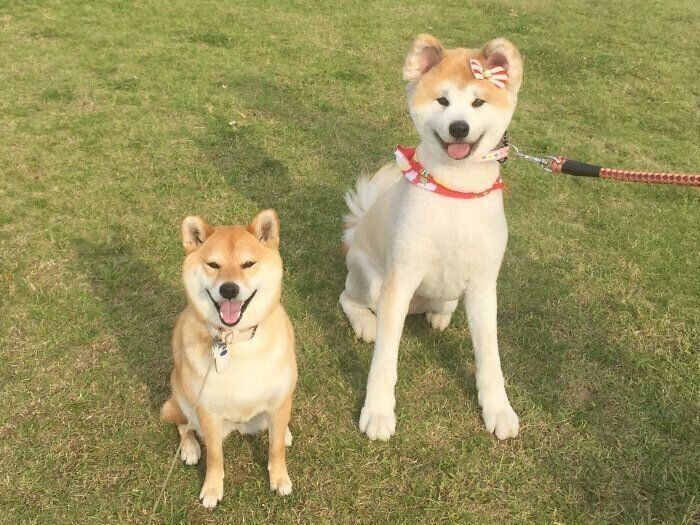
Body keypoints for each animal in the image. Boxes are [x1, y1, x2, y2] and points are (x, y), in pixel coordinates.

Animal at [160, 210, 296, 508]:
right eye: (213, 264)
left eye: (248, 264)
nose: (229, 289)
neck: (236, 343)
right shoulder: (208, 413)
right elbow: (215, 456)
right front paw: (212, 488)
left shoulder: (280, 399)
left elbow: (275, 448)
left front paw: (279, 478)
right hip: (181, 396)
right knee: (183, 425)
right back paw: (189, 448)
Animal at [340, 34, 524, 440]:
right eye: (442, 100)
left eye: (478, 102)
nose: (458, 128)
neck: (456, 190)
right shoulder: (400, 279)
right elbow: (384, 360)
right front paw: (378, 412)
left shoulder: (485, 284)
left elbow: (490, 358)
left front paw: (498, 409)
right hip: (372, 282)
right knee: (348, 298)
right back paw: (365, 324)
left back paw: (439, 314)